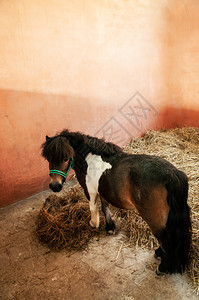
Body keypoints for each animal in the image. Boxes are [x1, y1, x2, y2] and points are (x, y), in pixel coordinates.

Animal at [41, 129, 191, 274]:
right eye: (48, 158)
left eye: (65, 158)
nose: (55, 186)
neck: (90, 159)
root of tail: (171, 174)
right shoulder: (102, 191)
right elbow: (105, 208)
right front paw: (110, 228)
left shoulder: (90, 191)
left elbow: (94, 209)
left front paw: (93, 224)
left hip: (155, 221)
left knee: (165, 240)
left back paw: (163, 267)